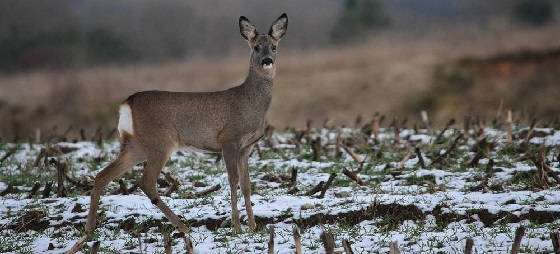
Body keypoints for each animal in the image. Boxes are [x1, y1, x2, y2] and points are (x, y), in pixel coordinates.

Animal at [68, 13, 288, 252]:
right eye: (256, 47)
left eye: (274, 46)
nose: (267, 61)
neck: (249, 103)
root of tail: (128, 102)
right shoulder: (229, 139)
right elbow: (233, 180)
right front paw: (237, 226)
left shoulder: (246, 147)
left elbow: (247, 185)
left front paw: (254, 226)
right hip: (160, 143)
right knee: (146, 181)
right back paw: (182, 226)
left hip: (137, 146)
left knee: (102, 175)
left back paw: (89, 229)